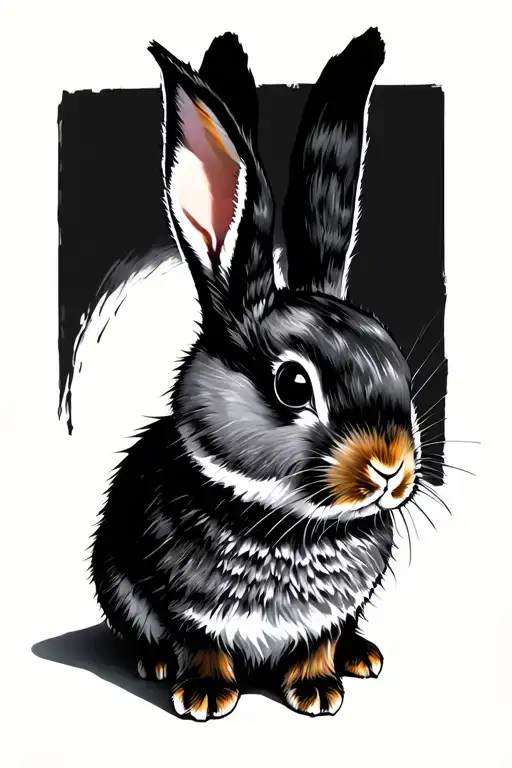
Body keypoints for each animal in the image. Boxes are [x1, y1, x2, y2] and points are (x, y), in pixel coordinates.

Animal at [90, 26, 423, 721]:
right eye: (293, 384)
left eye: (394, 357)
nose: (392, 469)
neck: (287, 521)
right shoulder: (183, 603)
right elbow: (199, 641)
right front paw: (205, 697)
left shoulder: (329, 615)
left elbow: (319, 640)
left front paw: (318, 691)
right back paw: (153, 663)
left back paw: (361, 657)